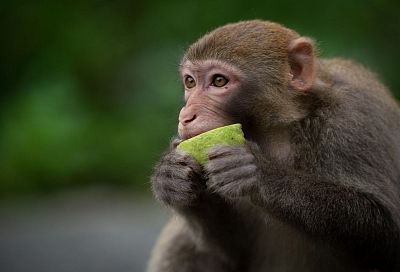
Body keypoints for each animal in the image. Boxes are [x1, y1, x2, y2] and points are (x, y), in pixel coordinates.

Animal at [146, 19, 400, 272]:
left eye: (219, 81)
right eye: (190, 82)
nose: (186, 116)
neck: (279, 130)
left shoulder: (356, 118)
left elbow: (387, 231)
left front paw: (259, 173)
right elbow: (236, 251)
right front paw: (170, 176)